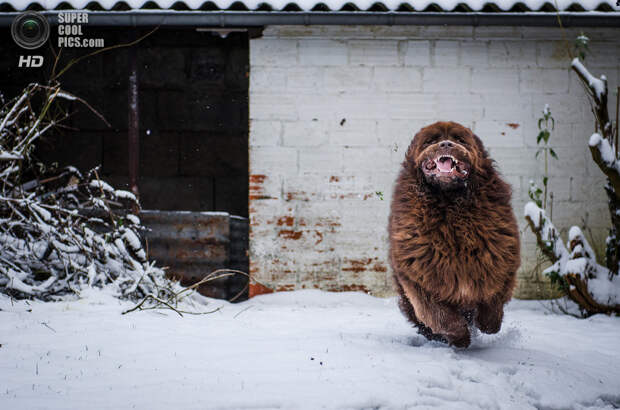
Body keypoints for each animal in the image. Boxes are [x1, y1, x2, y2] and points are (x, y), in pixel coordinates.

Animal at [390, 121, 520, 346]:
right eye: (431, 141)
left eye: (460, 140)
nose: (446, 144)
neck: (450, 207)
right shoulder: (419, 277)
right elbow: (438, 314)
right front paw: (460, 338)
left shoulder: (500, 258)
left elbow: (494, 295)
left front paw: (489, 323)